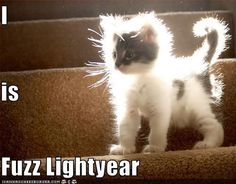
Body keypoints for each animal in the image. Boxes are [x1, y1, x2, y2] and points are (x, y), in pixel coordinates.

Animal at [88, 12, 229, 155]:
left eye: (130, 54)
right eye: (114, 54)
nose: (116, 65)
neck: (138, 78)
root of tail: (200, 64)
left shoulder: (160, 107)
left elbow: (157, 130)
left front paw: (155, 148)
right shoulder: (128, 108)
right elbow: (125, 128)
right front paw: (124, 148)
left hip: (199, 107)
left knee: (215, 125)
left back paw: (208, 144)